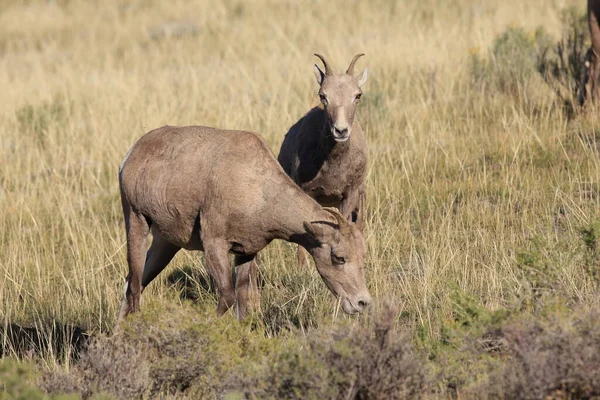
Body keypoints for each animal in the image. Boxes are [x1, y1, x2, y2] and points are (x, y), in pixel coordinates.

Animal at [116, 124, 370, 322]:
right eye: (339, 257)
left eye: (362, 256)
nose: (362, 303)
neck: (259, 190)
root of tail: (130, 156)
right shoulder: (214, 246)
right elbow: (227, 298)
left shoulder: (246, 252)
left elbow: (241, 305)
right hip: (137, 221)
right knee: (135, 287)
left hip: (166, 244)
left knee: (131, 283)